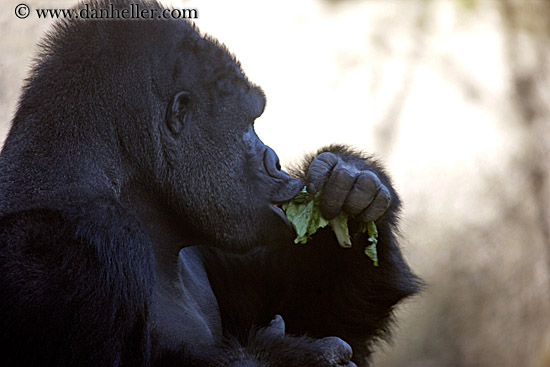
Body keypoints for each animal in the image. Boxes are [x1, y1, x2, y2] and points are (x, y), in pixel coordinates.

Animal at [1, 1, 422, 366]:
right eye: (249, 124)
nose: (274, 160)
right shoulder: (81, 244)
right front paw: (297, 356)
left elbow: (313, 312)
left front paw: (351, 186)